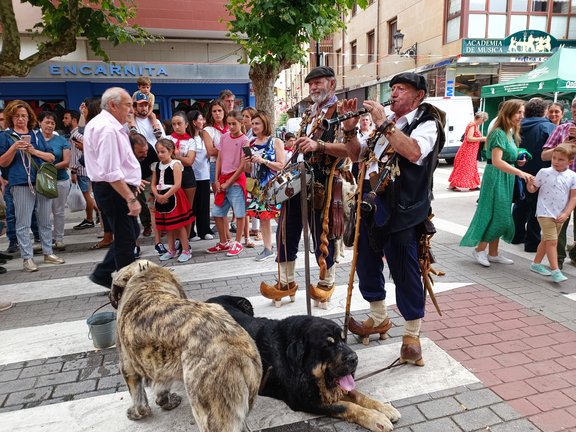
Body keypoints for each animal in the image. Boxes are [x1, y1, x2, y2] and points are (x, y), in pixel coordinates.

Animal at [111, 260, 264, 432]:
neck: (149, 281)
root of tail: (237, 350)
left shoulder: (127, 366)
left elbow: (139, 399)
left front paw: (137, 413)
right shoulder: (161, 367)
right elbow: (162, 388)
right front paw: (166, 402)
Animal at [207, 296, 400, 430]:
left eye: (343, 340)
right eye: (327, 345)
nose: (354, 358)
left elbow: (358, 395)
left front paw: (384, 408)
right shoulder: (303, 399)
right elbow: (346, 406)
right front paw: (376, 419)